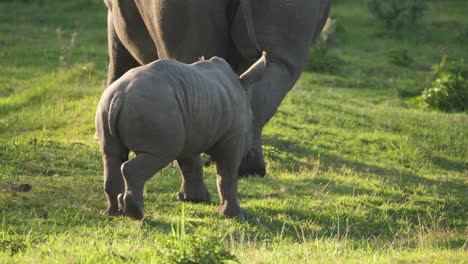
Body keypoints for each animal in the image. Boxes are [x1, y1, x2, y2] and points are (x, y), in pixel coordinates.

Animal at [95, 53, 266, 221]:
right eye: (252, 120)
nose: (249, 153)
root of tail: (120, 96)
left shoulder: (190, 131)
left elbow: (191, 165)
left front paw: (194, 199)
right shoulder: (233, 137)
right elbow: (227, 175)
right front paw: (237, 217)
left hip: (107, 105)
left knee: (111, 155)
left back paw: (113, 213)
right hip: (156, 108)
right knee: (158, 155)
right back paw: (137, 213)